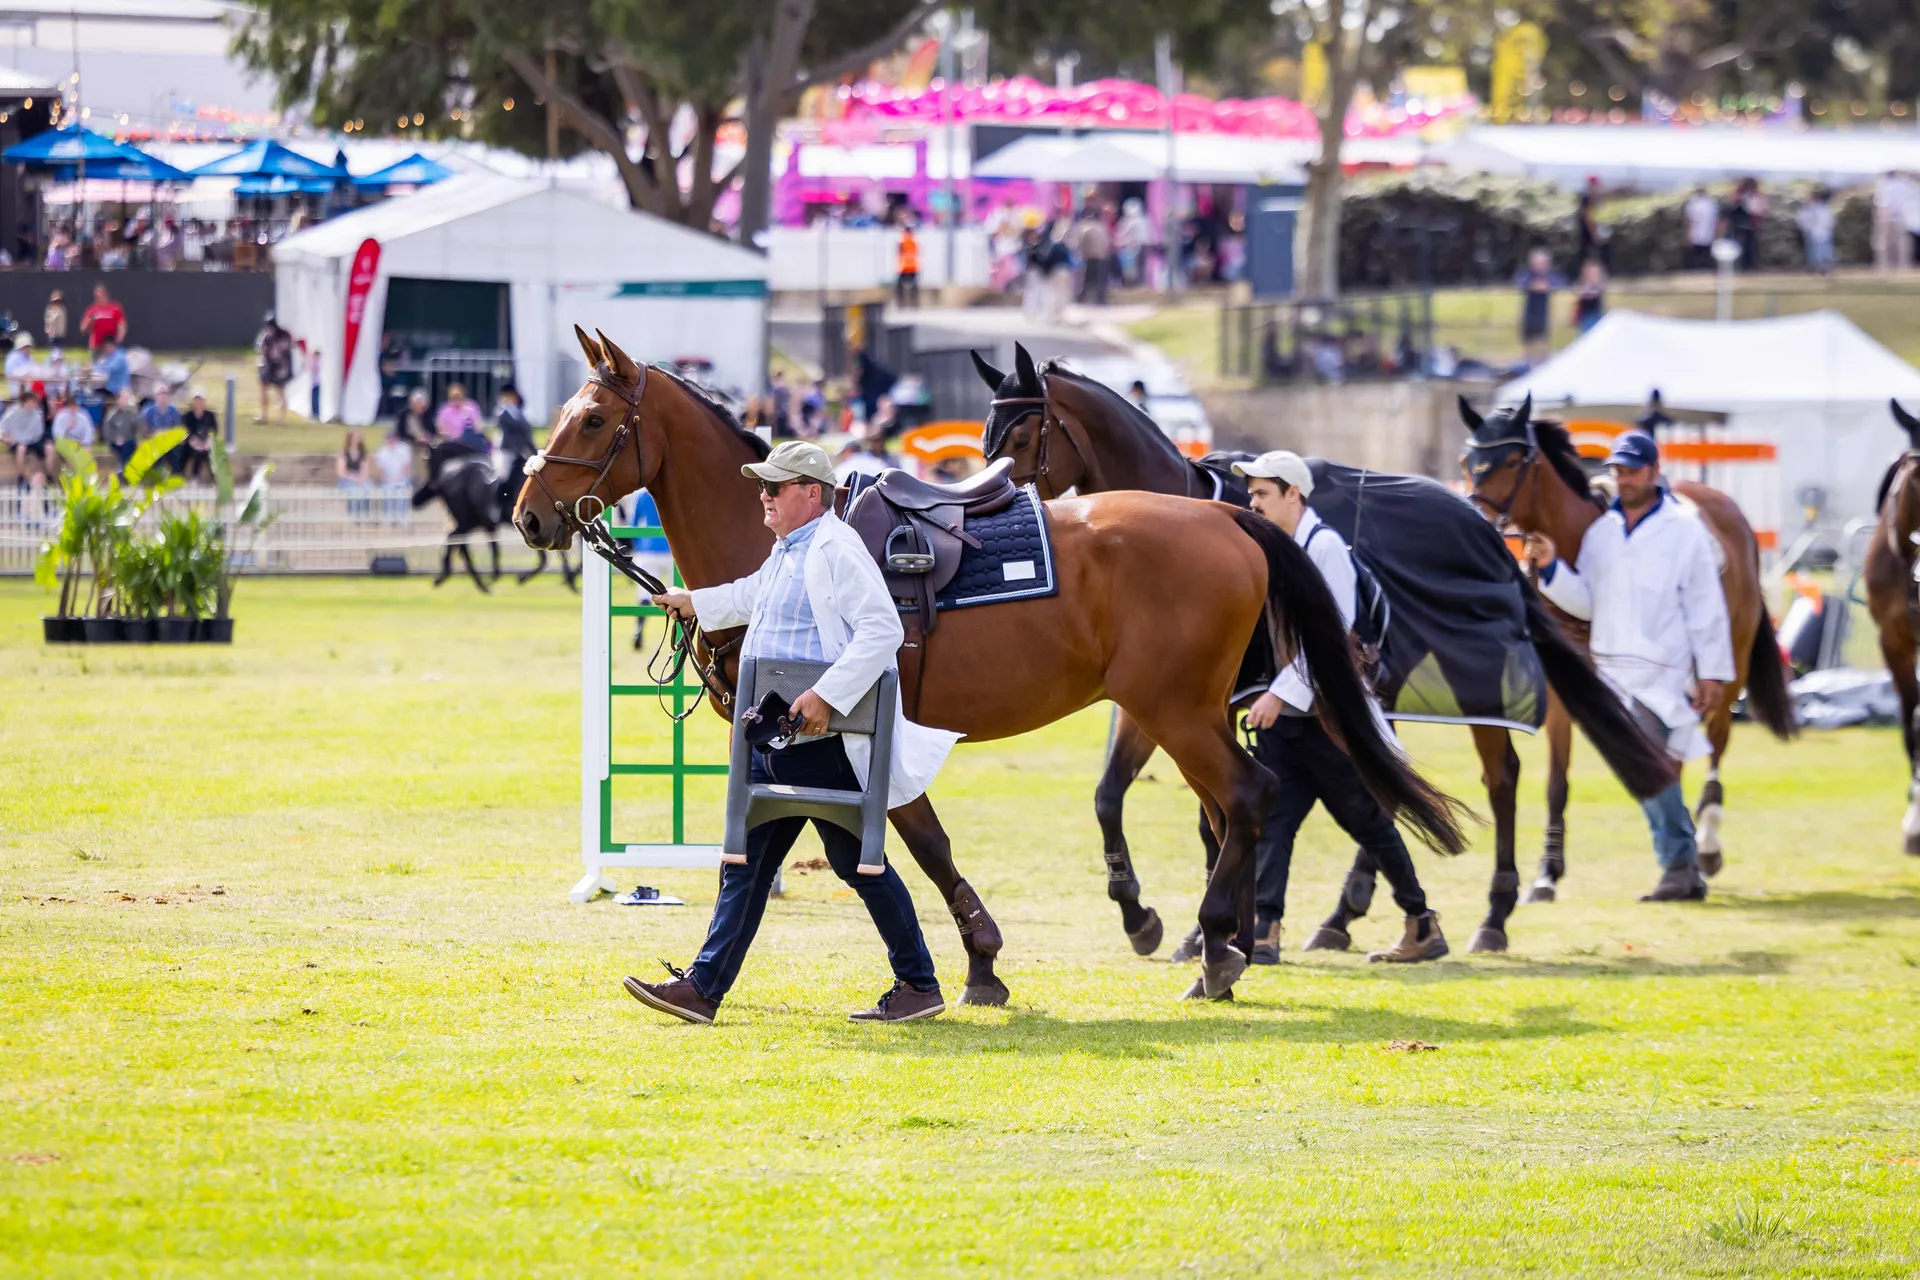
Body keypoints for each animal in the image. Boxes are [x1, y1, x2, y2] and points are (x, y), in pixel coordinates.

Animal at [414, 441, 576, 592]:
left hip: (471, 521)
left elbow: (495, 548)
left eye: (429, 462)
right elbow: (544, 556)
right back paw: (476, 582)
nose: (416, 498)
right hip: (467, 520)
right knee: (459, 542)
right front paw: (521, 577)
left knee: (456, 539)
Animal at [515, 326, 1469, 1003]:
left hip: (1177, 711)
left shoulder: (860, 730)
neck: (780, 548)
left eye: (592, 420)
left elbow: (916, 843)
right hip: (1183, 713)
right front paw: (979, 963)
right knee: (1232, 811)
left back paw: (1217, 944)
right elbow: (896, 844)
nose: (526, 513)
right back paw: (1226, 940)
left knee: (1249, 796)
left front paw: (977, 960)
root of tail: (1227, 517)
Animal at [972, 343, 1676, 955]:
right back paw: (1351, 914)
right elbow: (1112, 795)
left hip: (1469, 678)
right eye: (985, 436)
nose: (992, 499)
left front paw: (1208, 929)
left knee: (1497, 780)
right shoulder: (1155, 698)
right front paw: (1143, 914)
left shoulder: (1199, 701)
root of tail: (1483, 532)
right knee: (1385, 787)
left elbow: (1216, 810)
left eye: (1020, 436)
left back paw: (1490, 915)